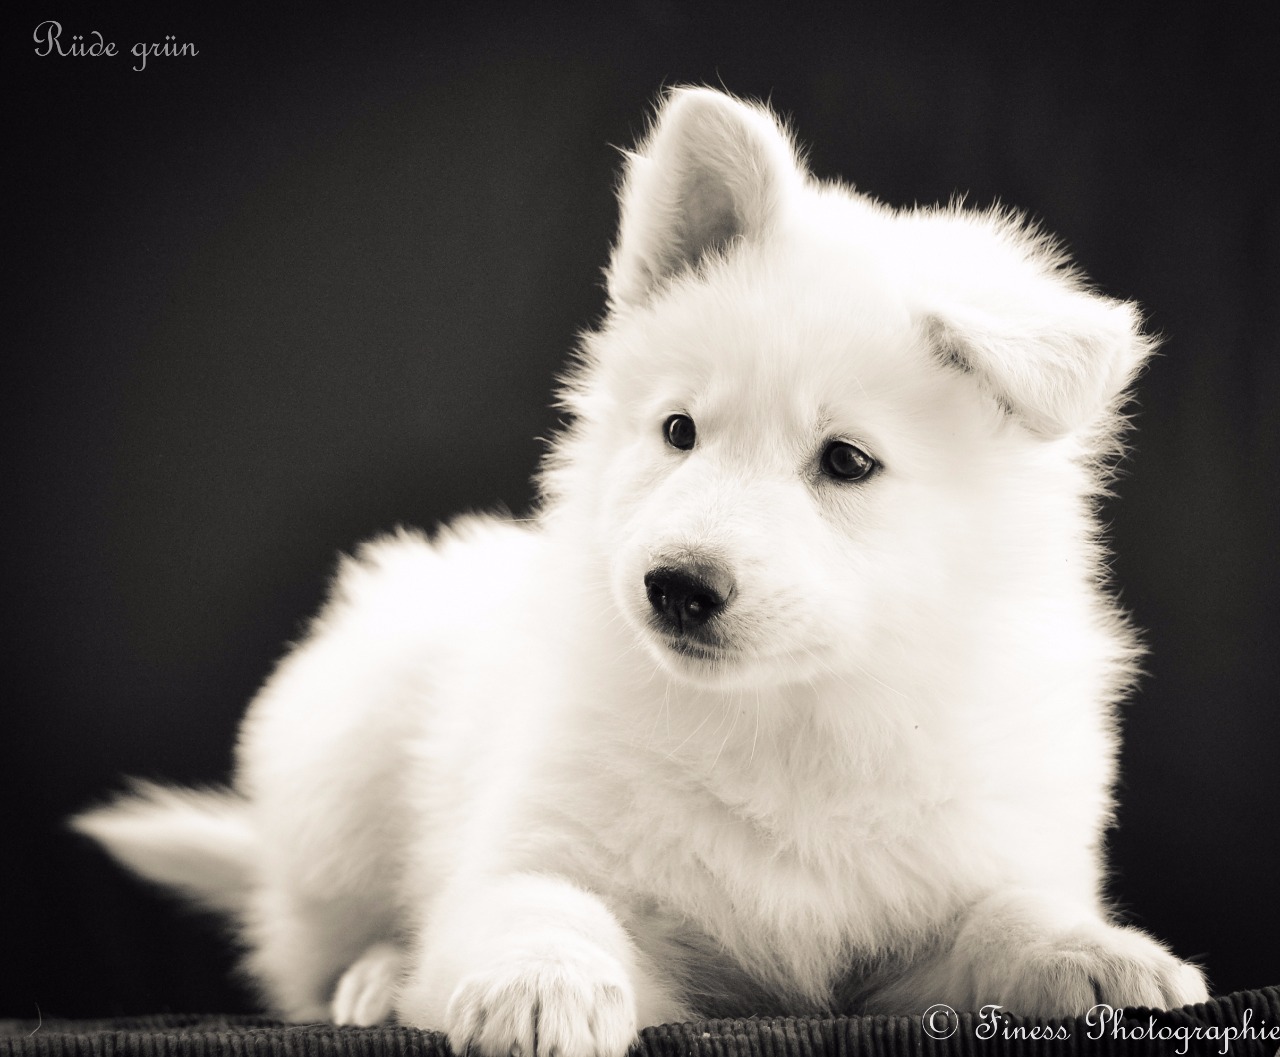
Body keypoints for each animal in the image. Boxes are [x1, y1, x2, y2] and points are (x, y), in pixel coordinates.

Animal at [75, 87, 1209, 1056]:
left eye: (846, 462)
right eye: (678, 431)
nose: (677, 586)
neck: (786, 718)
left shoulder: (940, 894)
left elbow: (1000, 913)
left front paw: (1102, 955)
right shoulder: (549, 843)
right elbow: (537, 902)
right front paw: (535, 987)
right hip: (339, 765)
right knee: (307, 951)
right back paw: (376, 978)